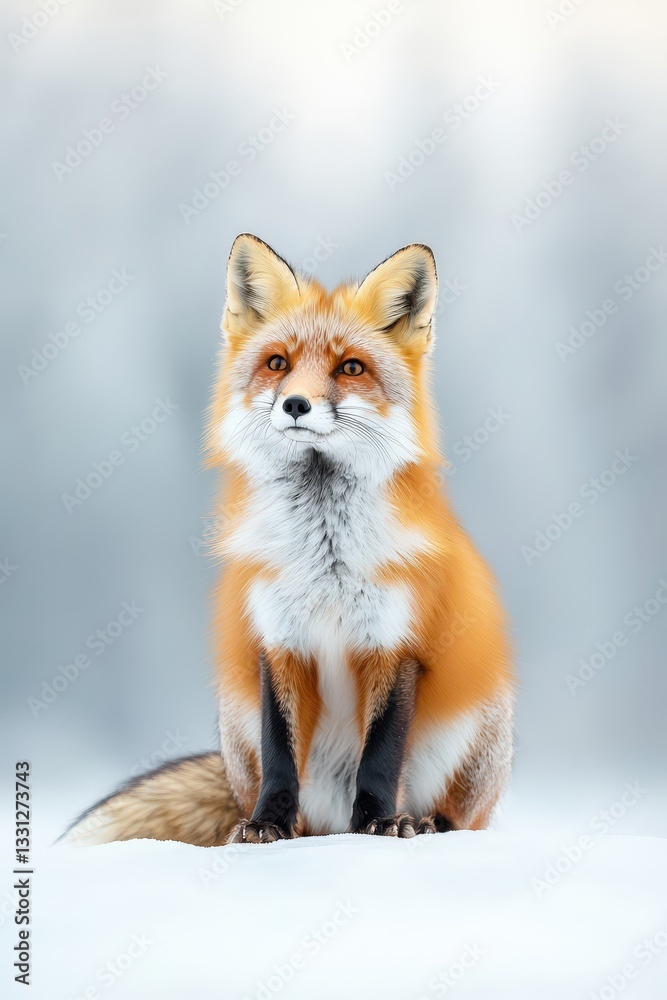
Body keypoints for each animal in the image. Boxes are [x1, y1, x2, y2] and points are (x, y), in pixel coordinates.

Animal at [63, 234, 514, 847]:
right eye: (278, 363)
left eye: (350, 367)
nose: (296, 404)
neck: (326, 559)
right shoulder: (278, 641)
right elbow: (281, 755)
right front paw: (267, 825)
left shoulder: (395, 645)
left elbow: (380, 758)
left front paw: (376, 822)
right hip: (238, 725)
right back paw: (295, 829)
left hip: (474, 735)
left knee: (463, 817)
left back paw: (423, 823)